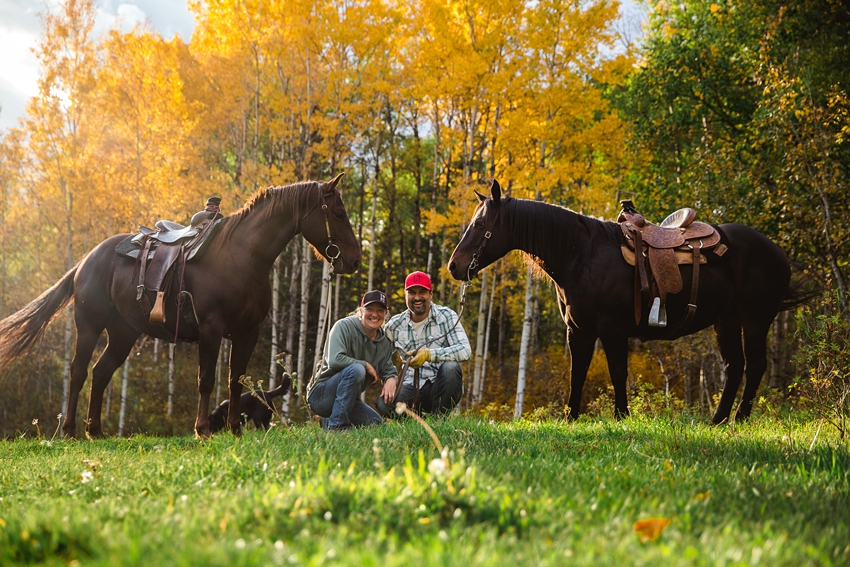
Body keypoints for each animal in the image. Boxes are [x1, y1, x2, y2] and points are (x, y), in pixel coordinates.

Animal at [0, 176, 362, 440]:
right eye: (339, 214)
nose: (355, 260)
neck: (242, 257)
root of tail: (86, 260)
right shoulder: (211, 330)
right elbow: (206, 379)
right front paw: (203, 430)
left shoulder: (248, 332)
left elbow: (235, 380)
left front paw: (234, 429)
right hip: (89, 326)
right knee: (77, 372)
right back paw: (71, 431)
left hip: (123, 334)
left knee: (101, 373)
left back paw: (96, 432)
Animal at [444, 180, 808, 424]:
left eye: (480, 224)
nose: (454, 266)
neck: (582, 255)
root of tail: (778, 252)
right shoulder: (578, 330)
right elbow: (578, 372)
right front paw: (571, 417)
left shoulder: (612, 329)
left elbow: (618, 372)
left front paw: (621, 416)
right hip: (726, 321)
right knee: (735, 366)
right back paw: (717, 420)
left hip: (756, 319)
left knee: (755, 364)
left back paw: (740, 418)